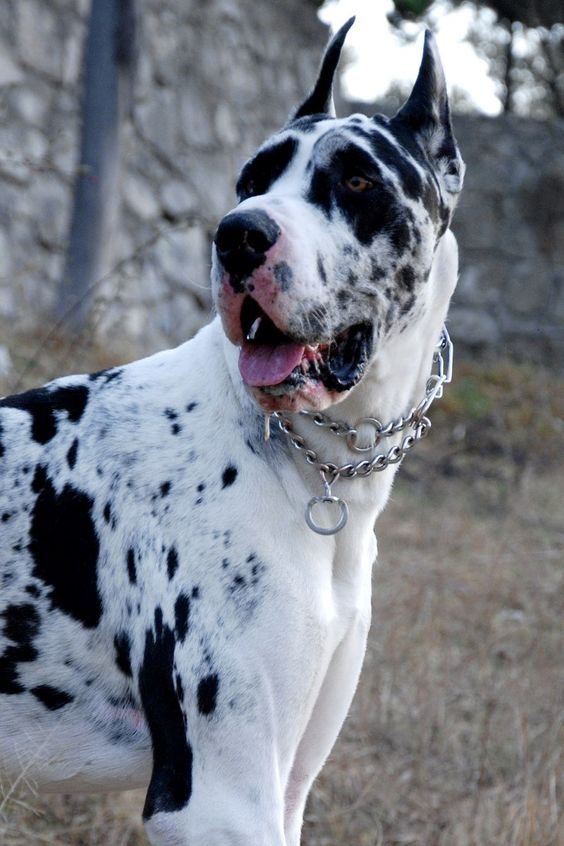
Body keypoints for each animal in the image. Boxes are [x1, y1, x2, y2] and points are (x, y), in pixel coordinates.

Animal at [0, 19, 462, 846]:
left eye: (357, 182)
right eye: (249, 181)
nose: (239, 235)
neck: (303, 462)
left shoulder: (286, 789)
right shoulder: (218, 801)